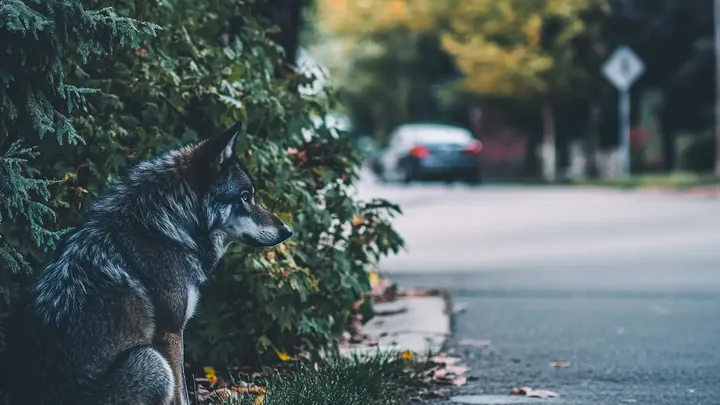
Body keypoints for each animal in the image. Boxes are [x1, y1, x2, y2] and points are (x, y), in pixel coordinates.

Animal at [4, 121, 293, 405]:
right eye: (245, 196)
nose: (288, 231)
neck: (167, 226)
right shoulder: (170, 333)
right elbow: (182, 394)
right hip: (152, 360)